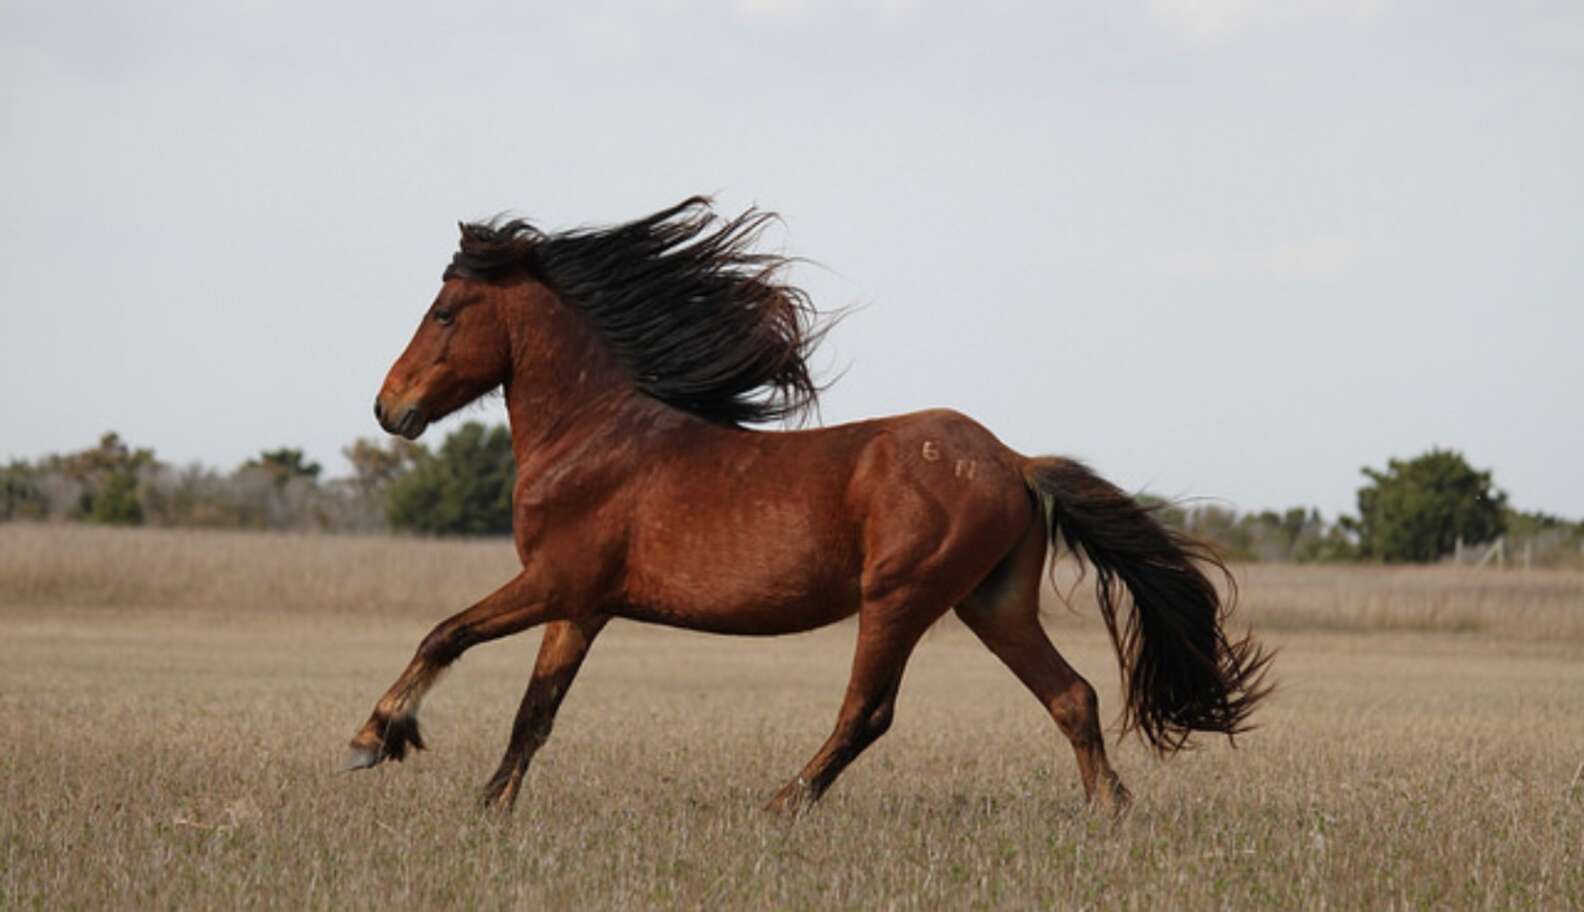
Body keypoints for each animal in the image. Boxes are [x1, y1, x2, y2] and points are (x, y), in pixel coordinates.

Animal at [340, 197, 1267, 810]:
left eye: (445, 311)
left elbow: (445, 635)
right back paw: (1111, 810)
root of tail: (1012, 460)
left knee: (869, 711)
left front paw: (373, 740)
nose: (389, 408)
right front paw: (489, 806)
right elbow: (535, 713)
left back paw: (783, 801)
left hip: (899, 597)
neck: (592, 440)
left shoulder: (556, 583)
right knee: (1071, 695)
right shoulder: (581, 608)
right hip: (991, 602)